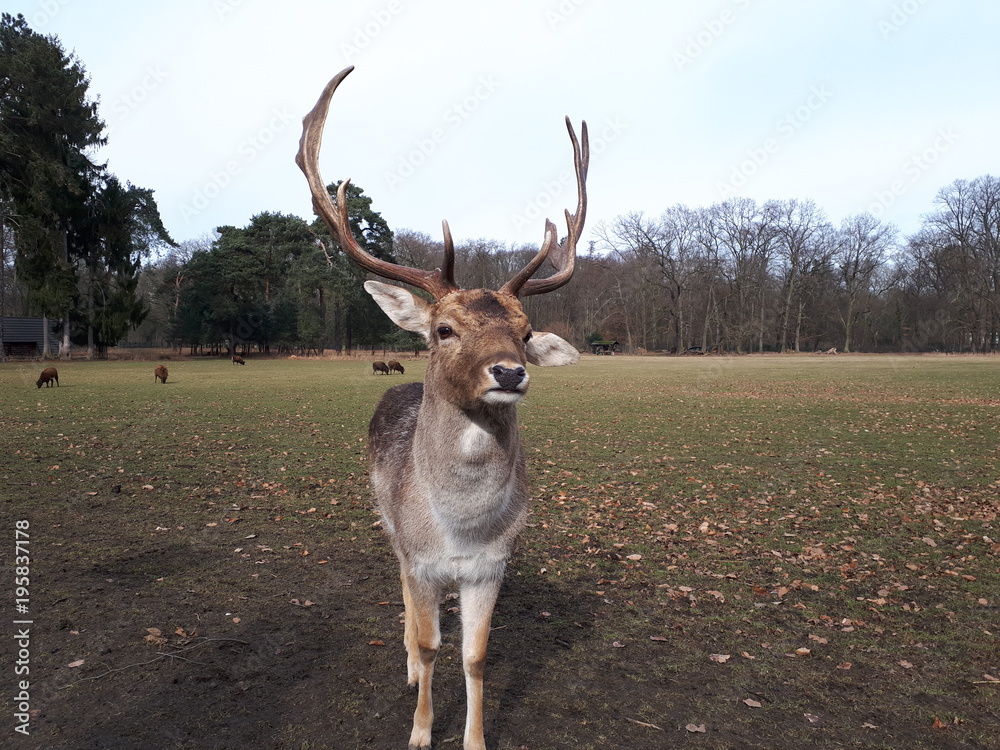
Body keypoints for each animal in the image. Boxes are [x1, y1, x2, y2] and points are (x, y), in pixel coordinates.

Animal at [294, 66, 584, 750]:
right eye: (445, 329)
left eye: (525, 331)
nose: (510, 371)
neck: (460, 528)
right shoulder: (420, 557)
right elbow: (429, 645)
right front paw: (421, 731)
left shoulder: (491, 566)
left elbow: (474, 656)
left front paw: (475, 738)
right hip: (386, 523)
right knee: (402, 596)